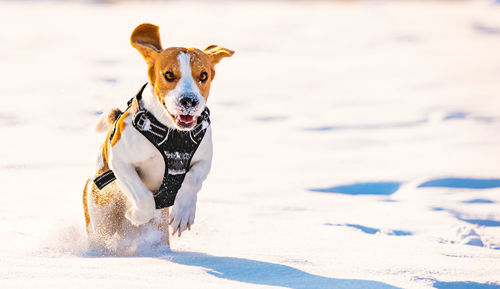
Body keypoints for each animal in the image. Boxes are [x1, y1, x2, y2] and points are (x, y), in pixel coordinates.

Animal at [82, 23, 234, 252]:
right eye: (169, 75)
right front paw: (136, 214)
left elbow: (192, 180)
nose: (189, 101)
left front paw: (183, 212)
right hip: (99, 215)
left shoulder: (203, 160)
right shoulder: (121, 161)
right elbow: (143, 196)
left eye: (203, 75)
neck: (173, 134)